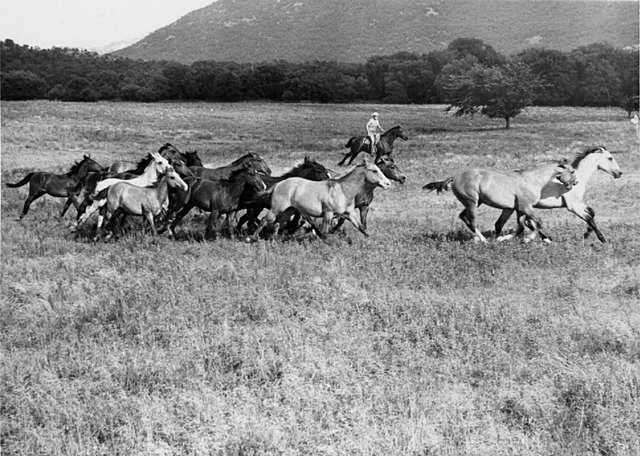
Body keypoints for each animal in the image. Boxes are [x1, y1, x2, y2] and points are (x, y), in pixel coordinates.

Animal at [249, 158, 391, 241]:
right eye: (374, 170)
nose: (388, 184)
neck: (342, 190)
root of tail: (278, 184)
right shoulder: (328, 214)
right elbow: (325, 232)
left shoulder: (349, 214)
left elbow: (362, 228)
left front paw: (372, 242)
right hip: (277, 208)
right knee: (264, 220)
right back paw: (251, 238)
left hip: (289, 210)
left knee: (278, 223)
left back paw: (274, 240)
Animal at [423, 161, 578, 243]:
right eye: (571, 171)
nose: (575, 182)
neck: (532, 180)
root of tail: (455, 176)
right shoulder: (526, 207)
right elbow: (538, 222)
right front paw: (528, 239)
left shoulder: (519, 209)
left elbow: (521, 228)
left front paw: (502, 238)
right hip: (472, 202)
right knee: (471, 221)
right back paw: (483, 240)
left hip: (474, 202)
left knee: (463, 216)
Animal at [493, 146, 622, 243]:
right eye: (610, 158)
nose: (619, 173)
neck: (578, 179)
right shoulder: (573, 207)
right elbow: (589, 218)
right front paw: (602, 240)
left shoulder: (578, 203)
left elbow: (592, 212)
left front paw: (587, 233)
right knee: (522, 223)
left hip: (511, 207)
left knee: (503, 223)